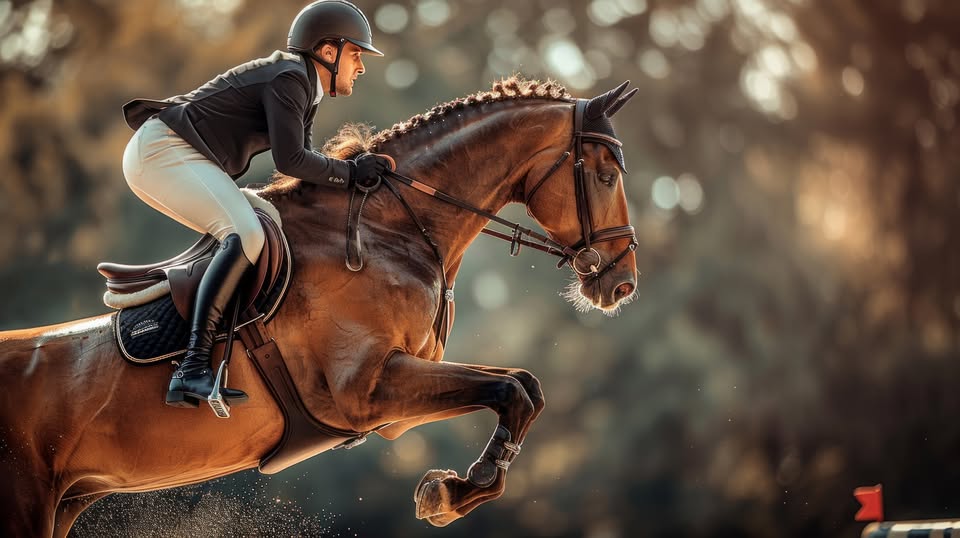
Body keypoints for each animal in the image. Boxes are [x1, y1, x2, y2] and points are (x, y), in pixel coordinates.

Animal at [0, 77, 639, 537]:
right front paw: (456, 489)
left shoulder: (393, 412)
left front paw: (455, 489)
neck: (390, 230)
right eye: (606, 175)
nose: (622, 284)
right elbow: (510, 388)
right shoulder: (366, 390)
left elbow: (523, 387)